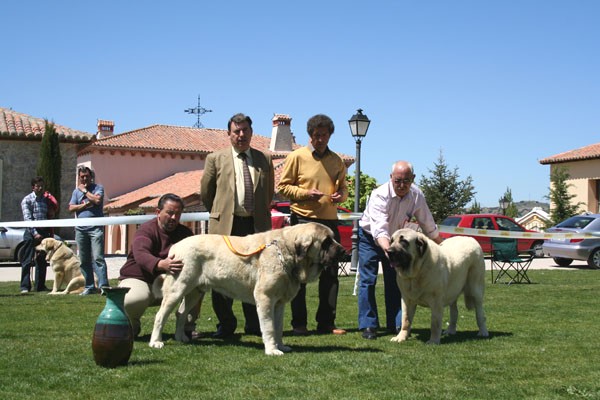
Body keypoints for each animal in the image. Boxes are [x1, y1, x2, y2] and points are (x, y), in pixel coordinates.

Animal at [150, 222, 346, 356]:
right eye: (326, 242)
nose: (343, 251)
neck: (287, 251)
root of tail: (175, 246)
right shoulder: (265, 298)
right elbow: (269, 327)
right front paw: (272, 350)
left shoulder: (279, 303)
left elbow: (278, 326)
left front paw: (281, 345)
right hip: (178, 289)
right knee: (160, 315)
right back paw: (156, 342)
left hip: (195, 292)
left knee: (181, 313)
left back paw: (180, 337)